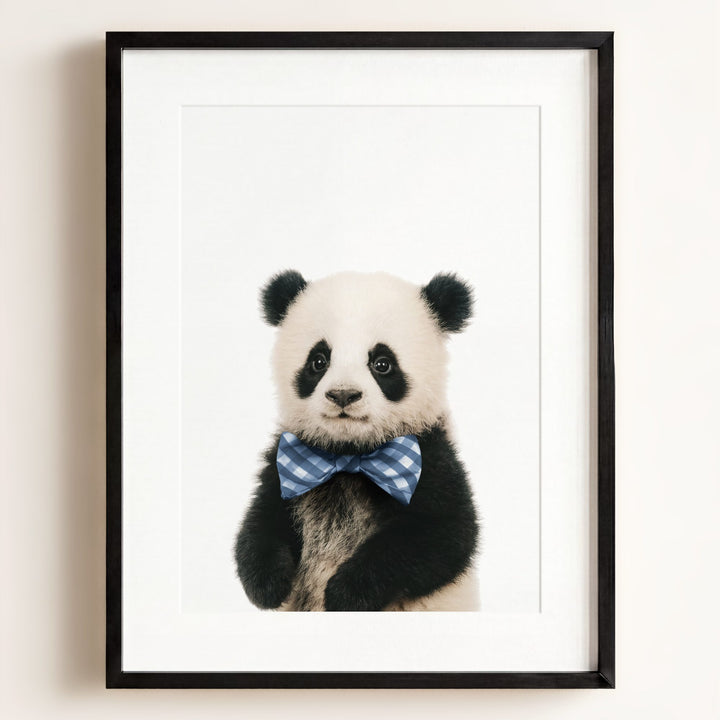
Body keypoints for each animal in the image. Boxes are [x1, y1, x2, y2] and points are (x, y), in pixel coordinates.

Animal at [234, 270, 480, 611]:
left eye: (382, 363)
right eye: (319, 360)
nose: (343, 394)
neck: (349, 456)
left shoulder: (432, 459)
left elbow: (442, 535)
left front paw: (345, 593)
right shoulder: (285, 462)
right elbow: (262, 520)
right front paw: (268, 585)